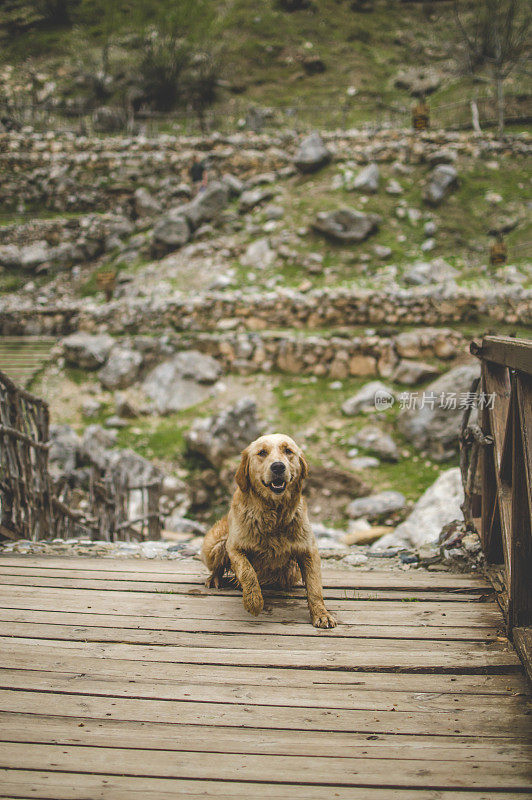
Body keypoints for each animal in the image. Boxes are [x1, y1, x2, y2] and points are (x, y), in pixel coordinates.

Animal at [201, 434, 336, 628]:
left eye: (288, 450)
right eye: (262, 452)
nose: (278, 466)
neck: (274, 513)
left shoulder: (309, 551)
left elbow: (315, 586)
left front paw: (321, 614)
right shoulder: (234, 547)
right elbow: (247, 571)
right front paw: (254, 602)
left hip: (292, 570)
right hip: (215, 544)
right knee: (217, 565)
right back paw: (214, 579)